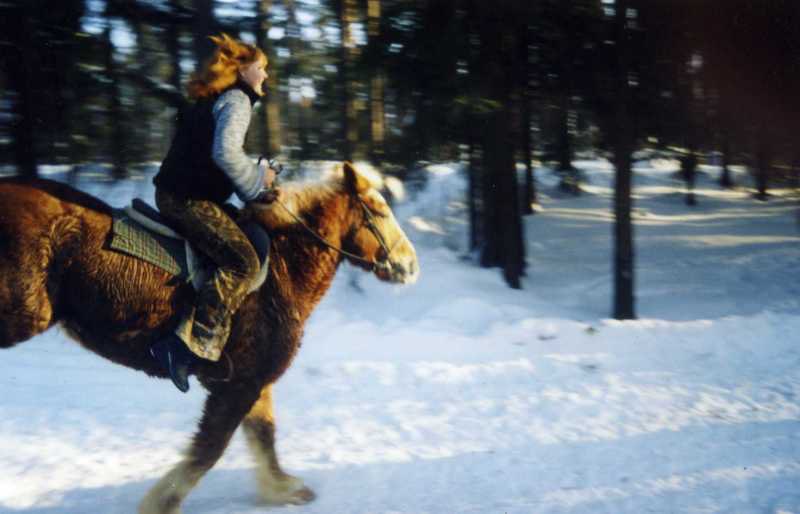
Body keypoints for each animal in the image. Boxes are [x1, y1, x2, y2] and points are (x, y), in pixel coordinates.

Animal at [0, 163, 418, 512]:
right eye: (378, 210)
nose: (410, 265)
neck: (283, 269)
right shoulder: (237, 385)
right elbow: (210, 449)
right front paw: (161, 503)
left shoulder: (252, 379)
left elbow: (263, 436)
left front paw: (281, 489)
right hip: (22, 314)